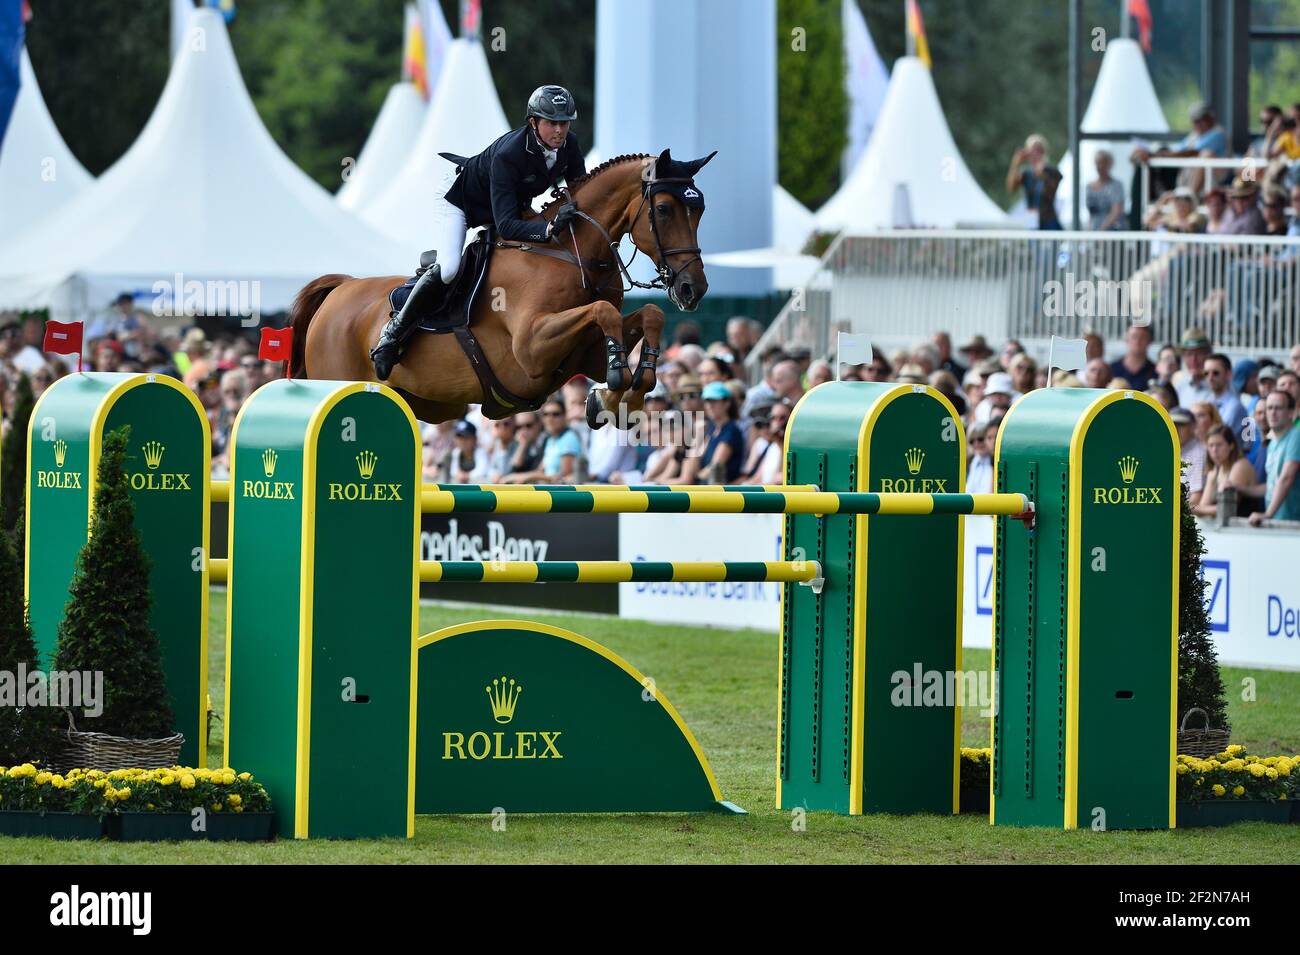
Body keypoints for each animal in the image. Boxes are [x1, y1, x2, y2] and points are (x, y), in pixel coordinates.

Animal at [286, 148, 717, 426]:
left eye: (700, 210)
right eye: (664, 209)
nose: (692, 289)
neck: (569, 252)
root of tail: (339, 291)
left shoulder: (584, 356)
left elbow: (650, 315)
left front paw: (617, 397)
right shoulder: (530, 349)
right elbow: (602, 310)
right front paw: (613, 387)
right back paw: (387, 343)